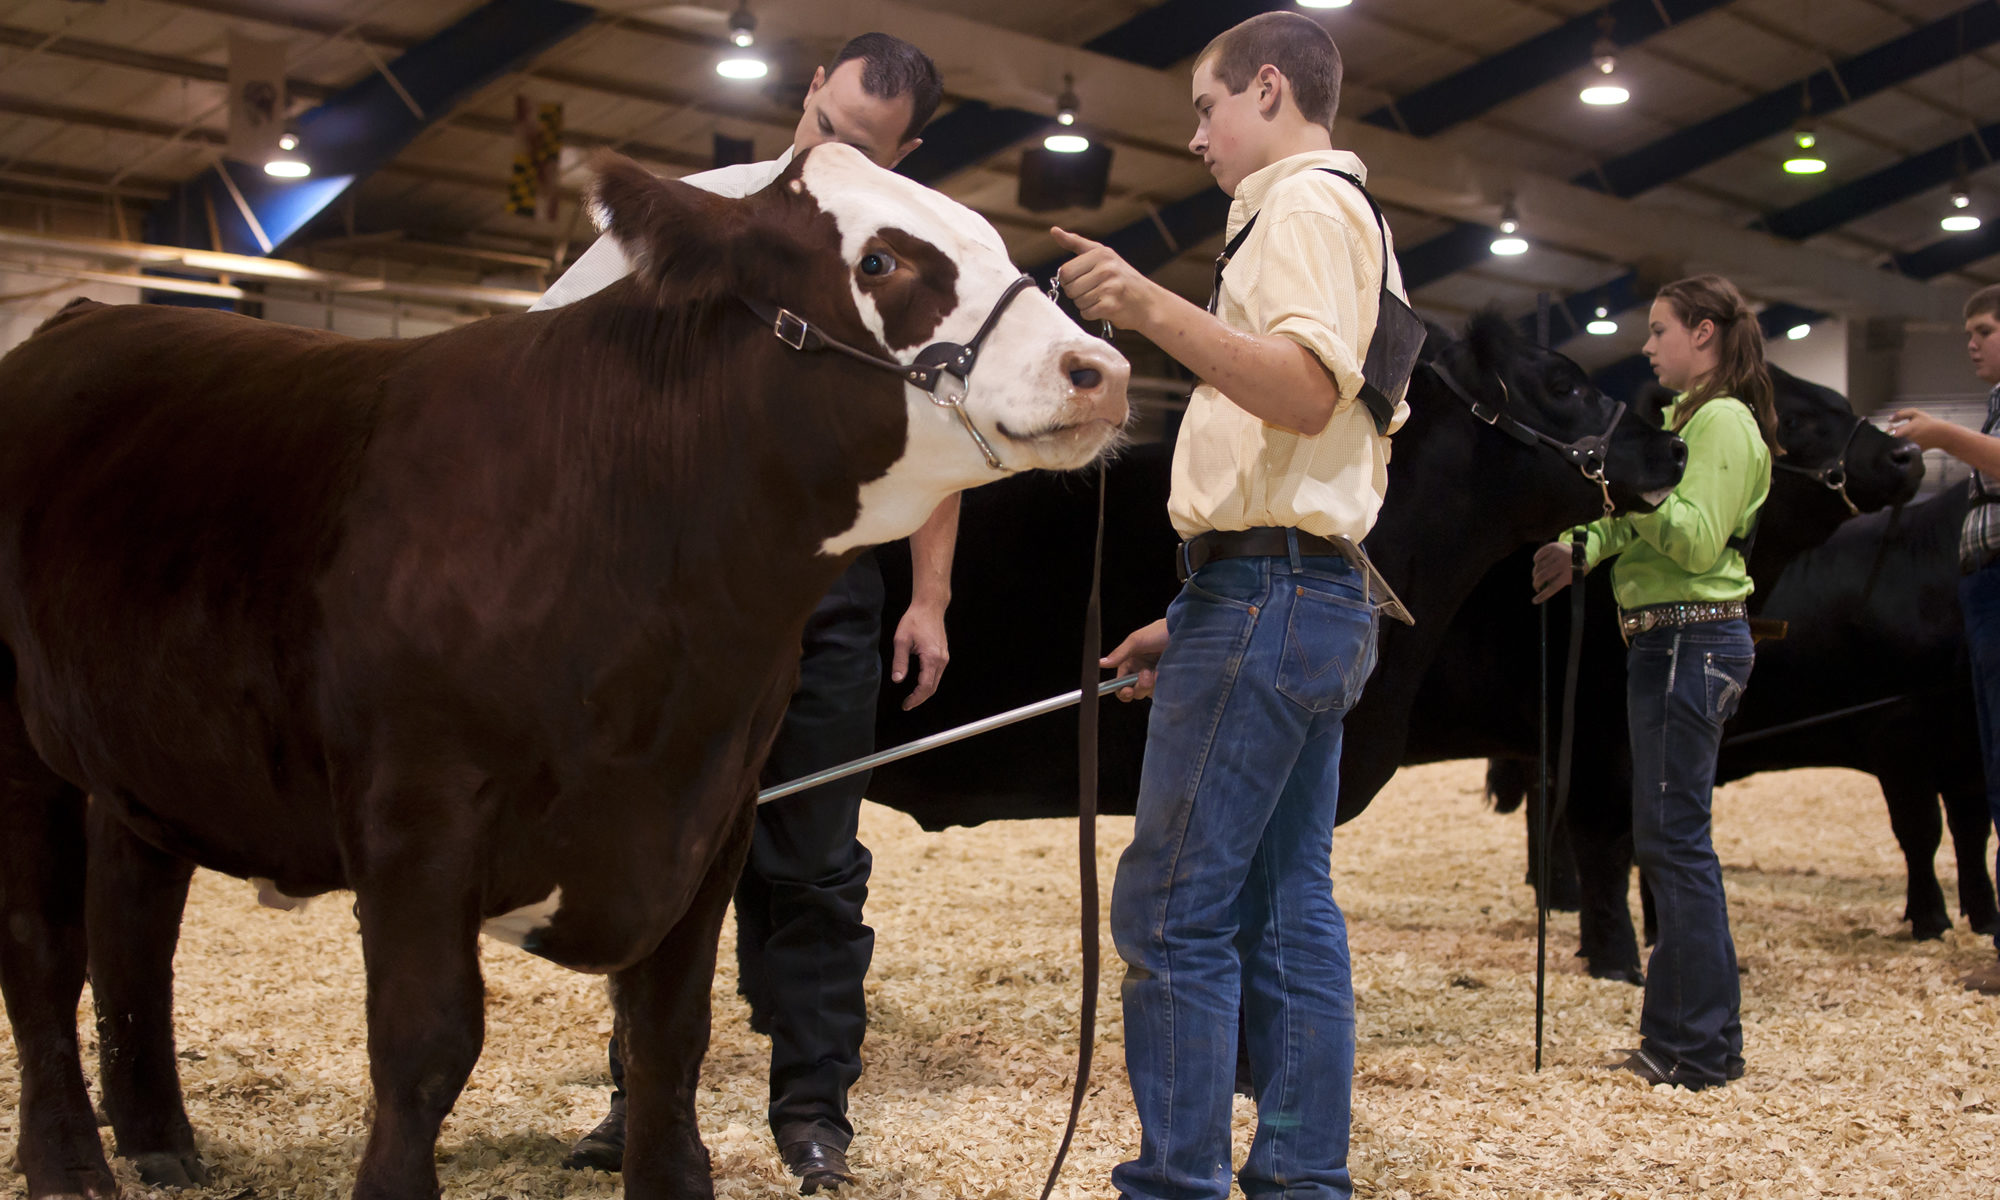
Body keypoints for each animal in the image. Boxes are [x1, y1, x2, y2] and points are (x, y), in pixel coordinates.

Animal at [0, 148, 1128, 1200]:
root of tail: (80, 319)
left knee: (135, 923)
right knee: (45, 951)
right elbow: (426, 1045)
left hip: (146, 754)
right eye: (882, 260)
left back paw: (159, 1140)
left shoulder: (714, 812)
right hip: (22, 745)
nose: (1100, 369)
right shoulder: (415, 813)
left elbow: (670, 1034)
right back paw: (69, 1163)